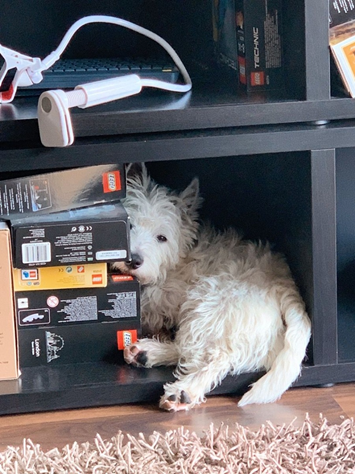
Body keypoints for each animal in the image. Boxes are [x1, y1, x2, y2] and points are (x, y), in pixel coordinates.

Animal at [114, 165, 312, 410]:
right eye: (130, 224)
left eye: (162, 238)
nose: (134, 260)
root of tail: (285, 285)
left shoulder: (163, 299)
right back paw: (145, 353)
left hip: (211, 303)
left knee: (212, 356)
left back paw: (182, 391)